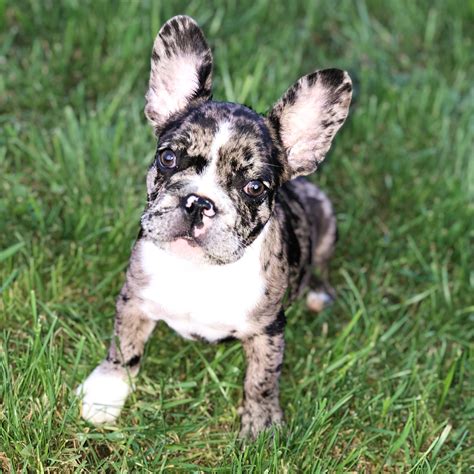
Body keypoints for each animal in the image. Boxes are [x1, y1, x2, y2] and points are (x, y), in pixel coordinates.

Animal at [77, 14, 352, 438]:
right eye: (168, 157)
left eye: (255, 187)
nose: (198, 202)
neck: (200, 270)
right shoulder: (134, 298)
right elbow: (124, 346)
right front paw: (107, 391)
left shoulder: (268, 331)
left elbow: (262, 378)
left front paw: (261, 423)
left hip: (326, 217)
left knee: (321, 263)